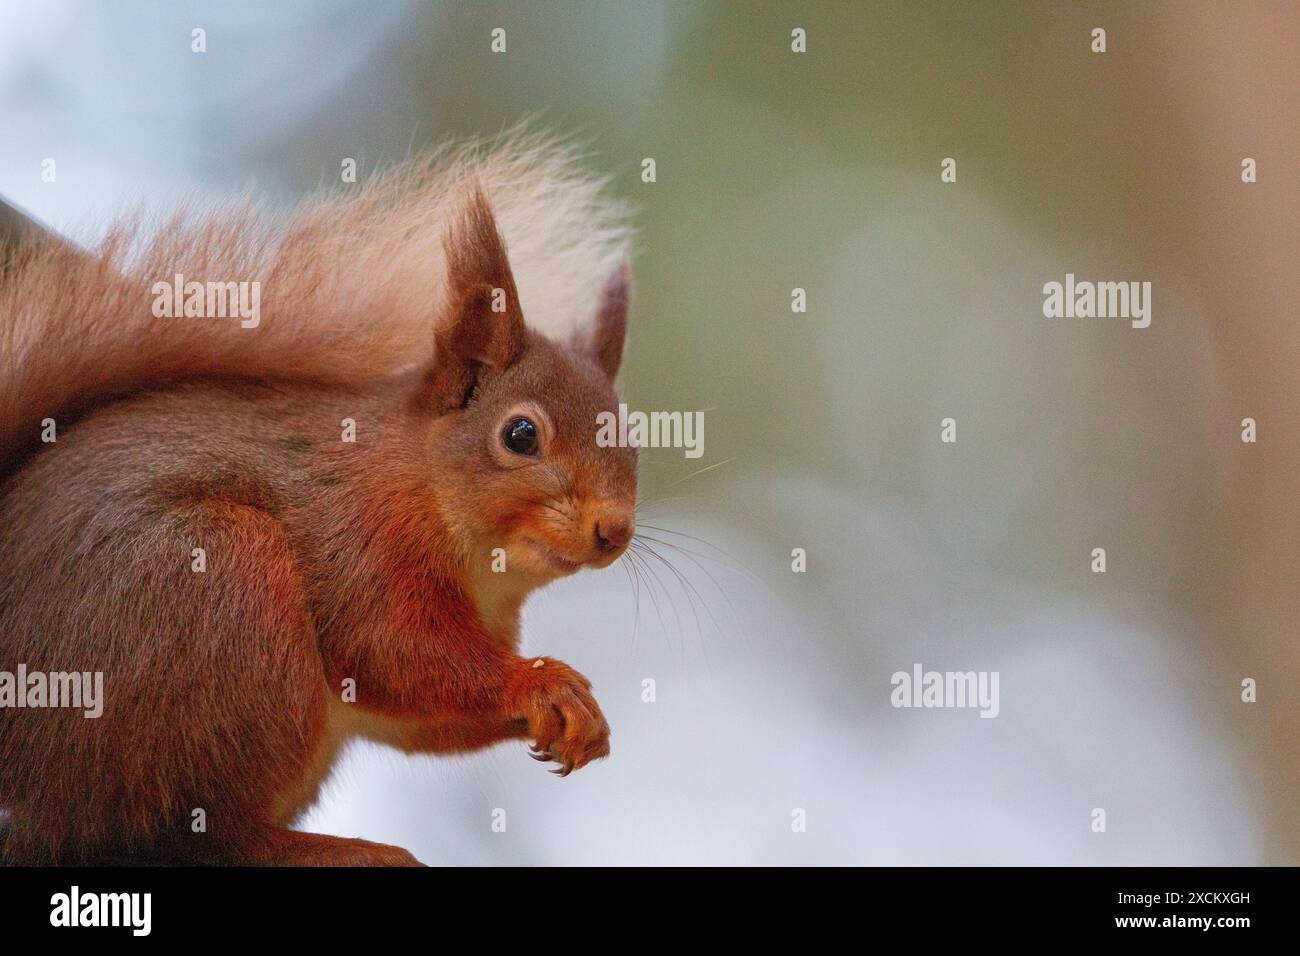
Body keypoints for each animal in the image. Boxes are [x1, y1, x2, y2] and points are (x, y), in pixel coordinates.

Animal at [0, 136, 637, 868]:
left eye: (634, 434)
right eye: (521, 435)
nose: (615, 530)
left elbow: (422, 723)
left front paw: (581, 721)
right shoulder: (359, 534)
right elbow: (392, 650)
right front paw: (539, 682)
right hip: (216, 593)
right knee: (192, 832)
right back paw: (336, 849)